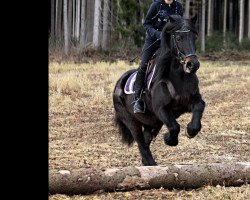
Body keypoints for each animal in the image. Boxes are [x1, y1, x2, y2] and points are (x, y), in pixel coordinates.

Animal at [113, 15, 205, 166]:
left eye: (194, 37)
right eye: (178, 38)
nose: (192, 65)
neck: (179, 76)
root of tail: (120, 81)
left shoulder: (191, 102)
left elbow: (199, 108)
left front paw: (190, 131)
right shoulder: (161, 108)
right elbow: (174, 127)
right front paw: (169, 139)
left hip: (152, 123)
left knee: (146, 142)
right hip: (131, 121)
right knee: (141, 143)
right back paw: (151, 163)